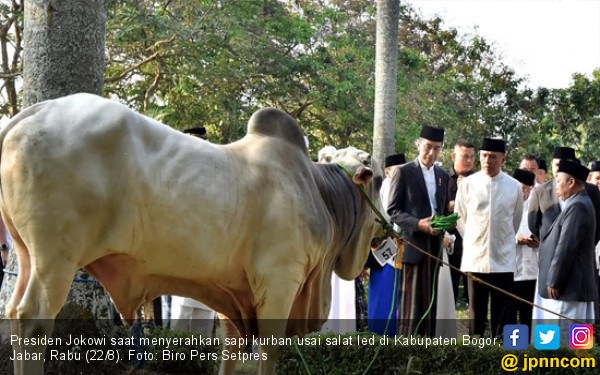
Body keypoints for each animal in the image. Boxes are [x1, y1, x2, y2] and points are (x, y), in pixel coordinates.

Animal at [0, 92, 384, 374]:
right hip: (57, 258)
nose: (386, 227)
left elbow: (231, 350)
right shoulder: (280, 280)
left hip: (27, 254)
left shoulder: (234, 293)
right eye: (380, 179)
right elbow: (268, 351)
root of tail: (32, 112)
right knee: (34, 320)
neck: (319, 191)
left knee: (14, 314)